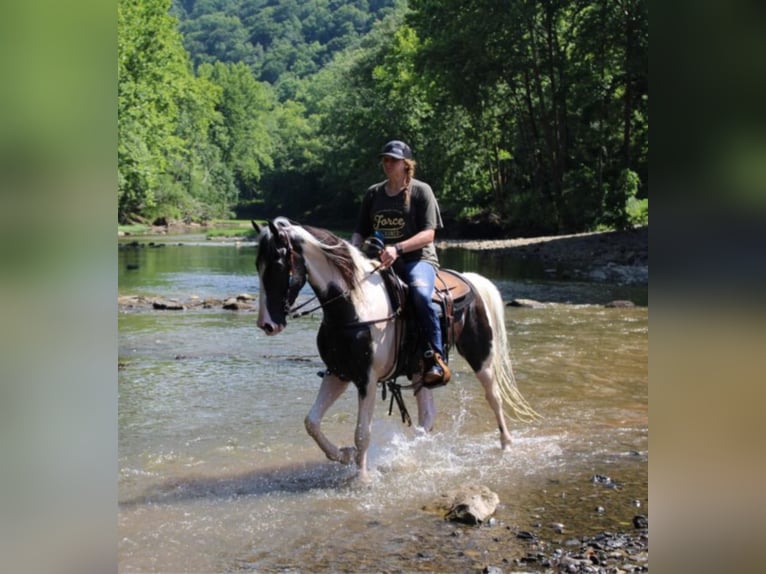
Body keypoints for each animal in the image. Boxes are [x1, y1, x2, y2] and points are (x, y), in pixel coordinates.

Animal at [254, 218, 540, 484]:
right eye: (258, 266)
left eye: (278, 265)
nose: (267, 324)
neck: (354, 306)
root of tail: (470, 280)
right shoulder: (338, 374)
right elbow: (311, 422)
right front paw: (344, 455)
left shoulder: (366, 380)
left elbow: (362, 432)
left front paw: (363, 478)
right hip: (421, 370)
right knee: (427, 415)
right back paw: (411, 453)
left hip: (480, 355)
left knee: (494, 397)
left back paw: (506, 444)